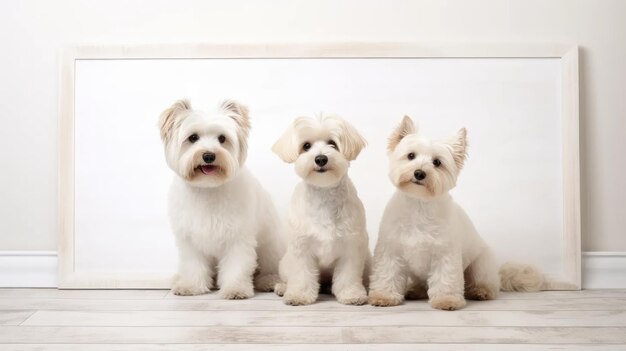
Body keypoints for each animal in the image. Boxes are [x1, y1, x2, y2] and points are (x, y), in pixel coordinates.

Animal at [157, 99, 284, 300]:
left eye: (222, 139)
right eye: (193, 138)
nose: (209, 155)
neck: (208, 187)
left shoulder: (237, 238)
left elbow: (236, 266)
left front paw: (235, 289)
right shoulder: (190, 239)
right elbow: (193, 265)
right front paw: (191, 286)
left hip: (270, 246)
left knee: (269, 265)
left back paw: (269, 281)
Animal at [270, 115, 368, 306]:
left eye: (332, 143)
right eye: (306, 146)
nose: (321, 159)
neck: (324, 194)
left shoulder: (351, 247)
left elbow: (348, 275)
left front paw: (351, 294)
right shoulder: (301, 248)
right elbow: (301, 275)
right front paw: (298, 295)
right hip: (285, 263)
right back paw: (283, 287)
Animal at [368, 116, 544, 310]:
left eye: (437, 162)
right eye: (411, 156)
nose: (419, 173)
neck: (419, 205)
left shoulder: (445, 253)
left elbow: (445, 278)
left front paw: (447, 300)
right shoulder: (390, 250)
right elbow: (387, 274)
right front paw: (384, 296)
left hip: (480, 266)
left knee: (487, 285)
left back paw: (481, 291)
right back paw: (415, 290)